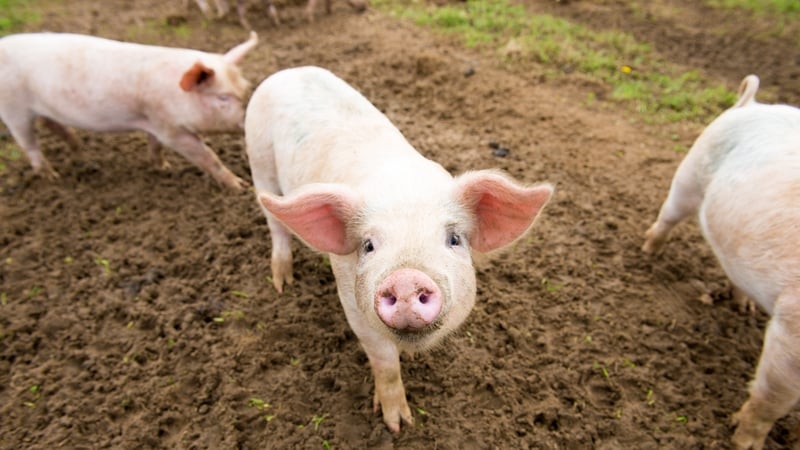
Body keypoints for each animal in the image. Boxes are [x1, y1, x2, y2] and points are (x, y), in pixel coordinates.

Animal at [0, 31, 258, 190]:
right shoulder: (171, 129)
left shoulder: (154, 121)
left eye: (245, 88)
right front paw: (240, 186)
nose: (248, 120)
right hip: (14, 110)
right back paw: (52, 177)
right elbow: (207, 156)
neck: (176, 94)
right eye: (222, 97)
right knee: (29, 144)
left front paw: (163, 168)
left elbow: (155, 145)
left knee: (53, 125)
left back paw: (82, 155)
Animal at [245, 66, 553, 432]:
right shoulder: (353, 304)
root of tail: (288, 71)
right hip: (258, 159)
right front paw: (398, 425)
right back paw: (283, 282)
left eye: (454, 239)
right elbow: (385, 362)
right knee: (275, 223)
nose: (406, 279)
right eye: (368, 245)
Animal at [642, 74, 800, 450]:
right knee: (667, 217)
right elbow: (772, 399)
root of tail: (752, 103)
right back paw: (649, 253)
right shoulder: (791, 326)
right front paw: (744, 443)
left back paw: (744, 309)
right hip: (688, 177)